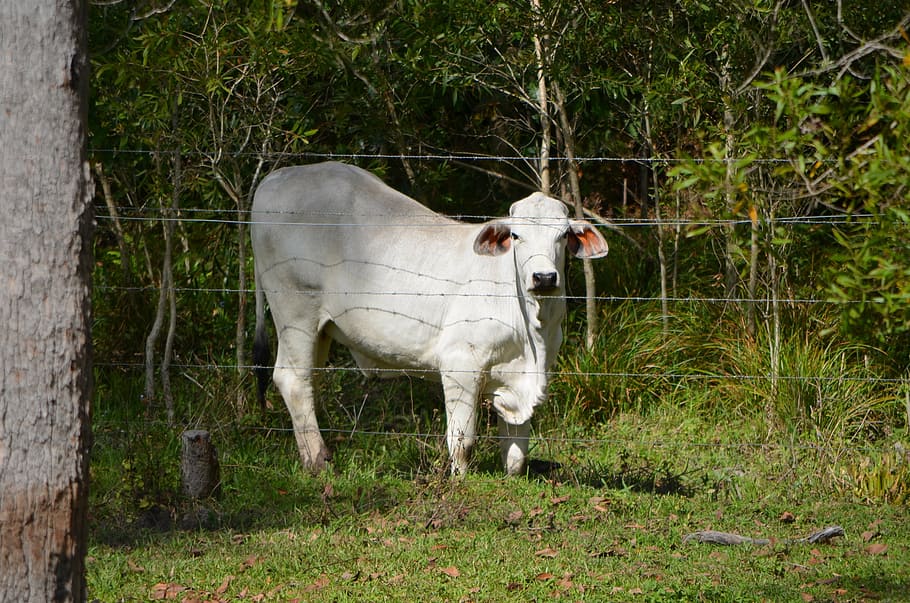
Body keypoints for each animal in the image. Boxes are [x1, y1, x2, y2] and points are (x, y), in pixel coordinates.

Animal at [251, 162, 608, 475]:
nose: (544, 277)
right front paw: (460, 479)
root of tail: (277, 177)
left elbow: (517, 450)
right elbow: (463, 440)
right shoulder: (460, 364)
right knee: (292, 379)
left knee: (308, 379)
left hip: (320, 329)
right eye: (517, 236)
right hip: (295, 311)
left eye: (562, 235)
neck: (534, 329)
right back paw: (317, 461)